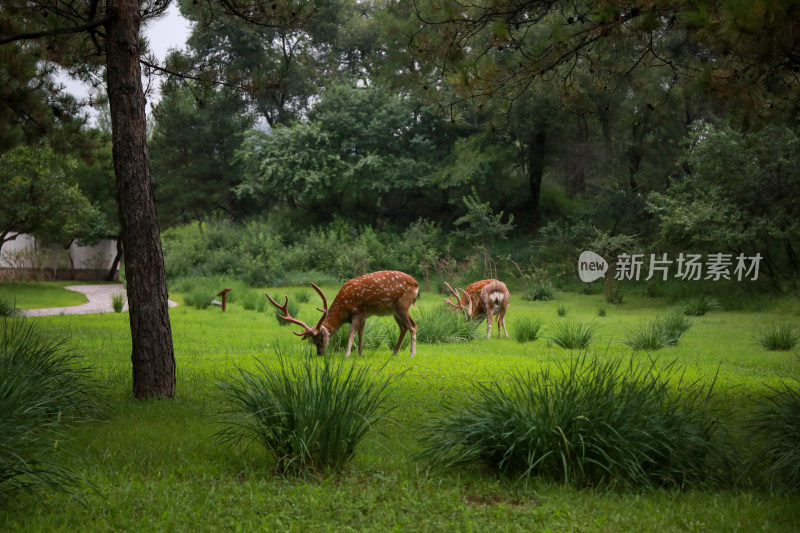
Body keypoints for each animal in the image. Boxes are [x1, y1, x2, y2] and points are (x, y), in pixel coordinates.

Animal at [268, 270, 418, 358]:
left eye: (320, 339)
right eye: (312, 341)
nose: (320, 353)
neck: (344, 308)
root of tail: (416, 285)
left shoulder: (358, 311)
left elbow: (352, 332)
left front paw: (347, 354)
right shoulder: (364, 314)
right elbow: (361, 332)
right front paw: (360, 353)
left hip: (403, 305)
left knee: (413, 325)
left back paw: (412, 354)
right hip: (395, 311)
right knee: (404, 327)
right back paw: (395, 353)